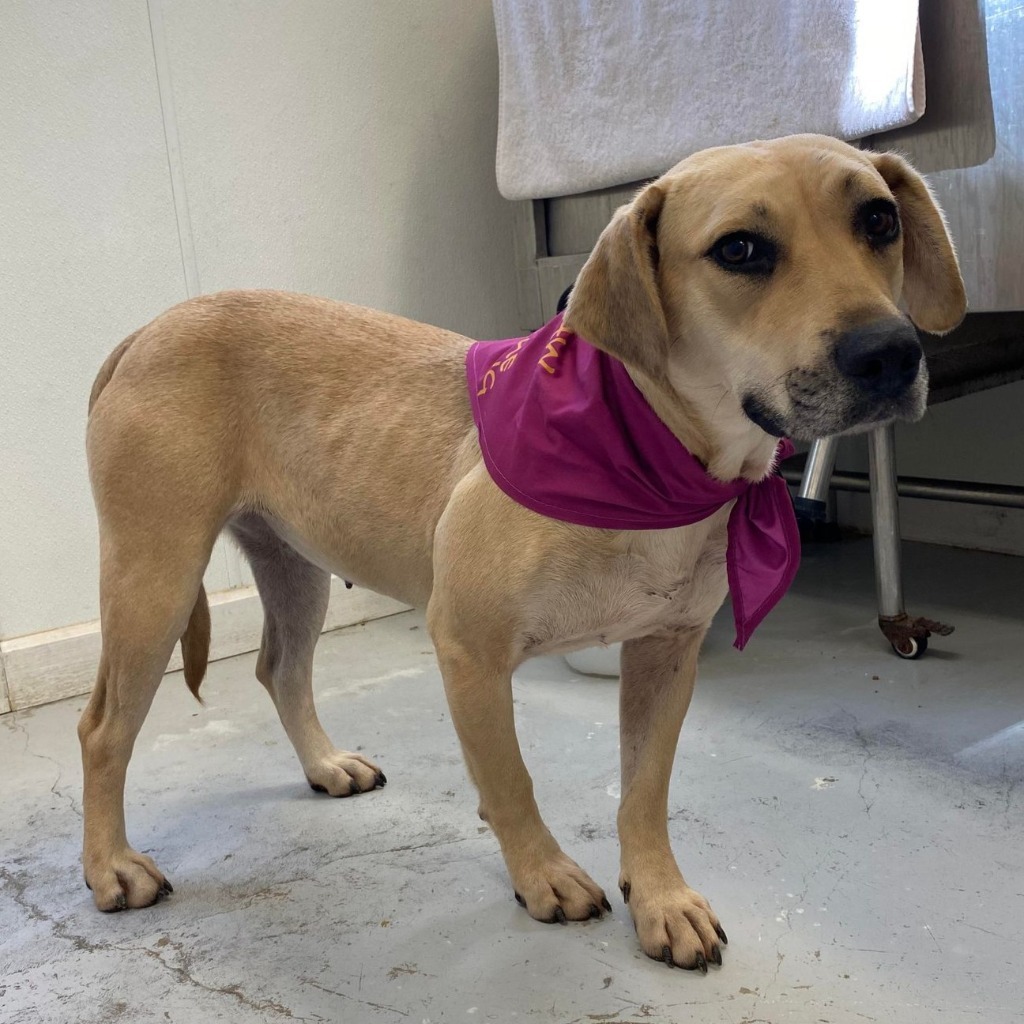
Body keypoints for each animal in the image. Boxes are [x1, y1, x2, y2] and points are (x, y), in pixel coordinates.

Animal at [77, 134, 958, 966]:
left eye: (879, 220)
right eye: (739, 249)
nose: (891, 352)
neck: (656, 456)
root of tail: (149, 326)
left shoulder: (666, 652)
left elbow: (645, 790)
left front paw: (660, 896)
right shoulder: (469, 648)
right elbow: (511, 778)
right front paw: (543, 872)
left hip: (299, 570)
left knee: (279, 672)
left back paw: (324, 764)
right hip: (154, 579)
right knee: (102, 729)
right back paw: (110, 864)